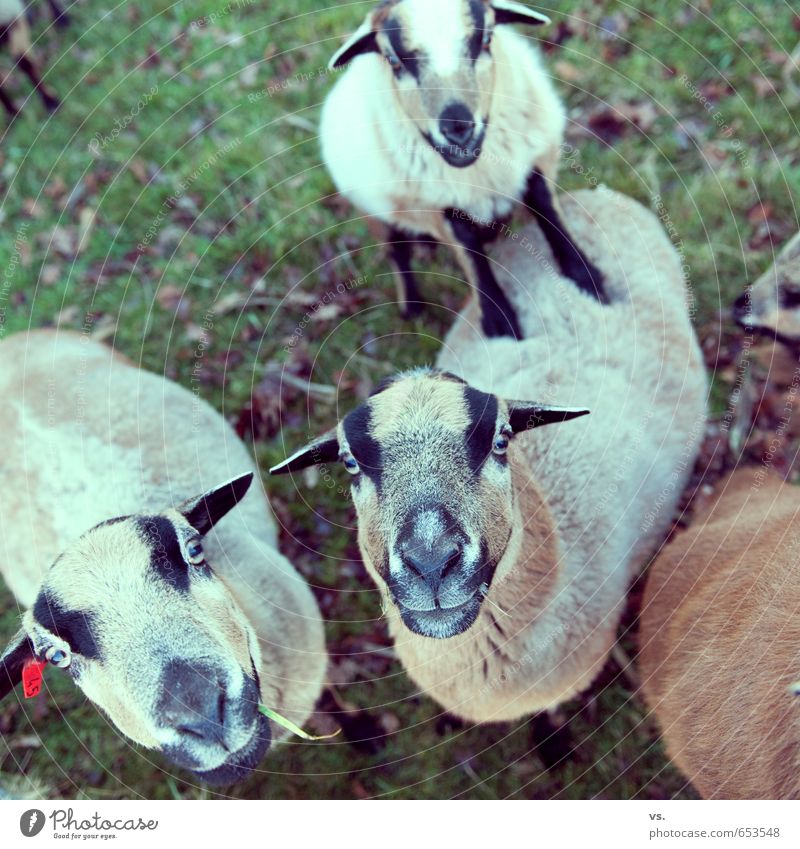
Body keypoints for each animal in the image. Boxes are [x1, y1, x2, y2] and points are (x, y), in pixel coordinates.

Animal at [322, 0, 604, 338]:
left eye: (486, 40)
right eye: (393, 61)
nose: (457, 128)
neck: (477, 169)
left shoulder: (533, 162)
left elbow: (549, 214)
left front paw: (587, 279)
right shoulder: (437, 207)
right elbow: (472, 257)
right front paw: (498, 322)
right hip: (377, 211)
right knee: (397, 252)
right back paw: (411, 305)